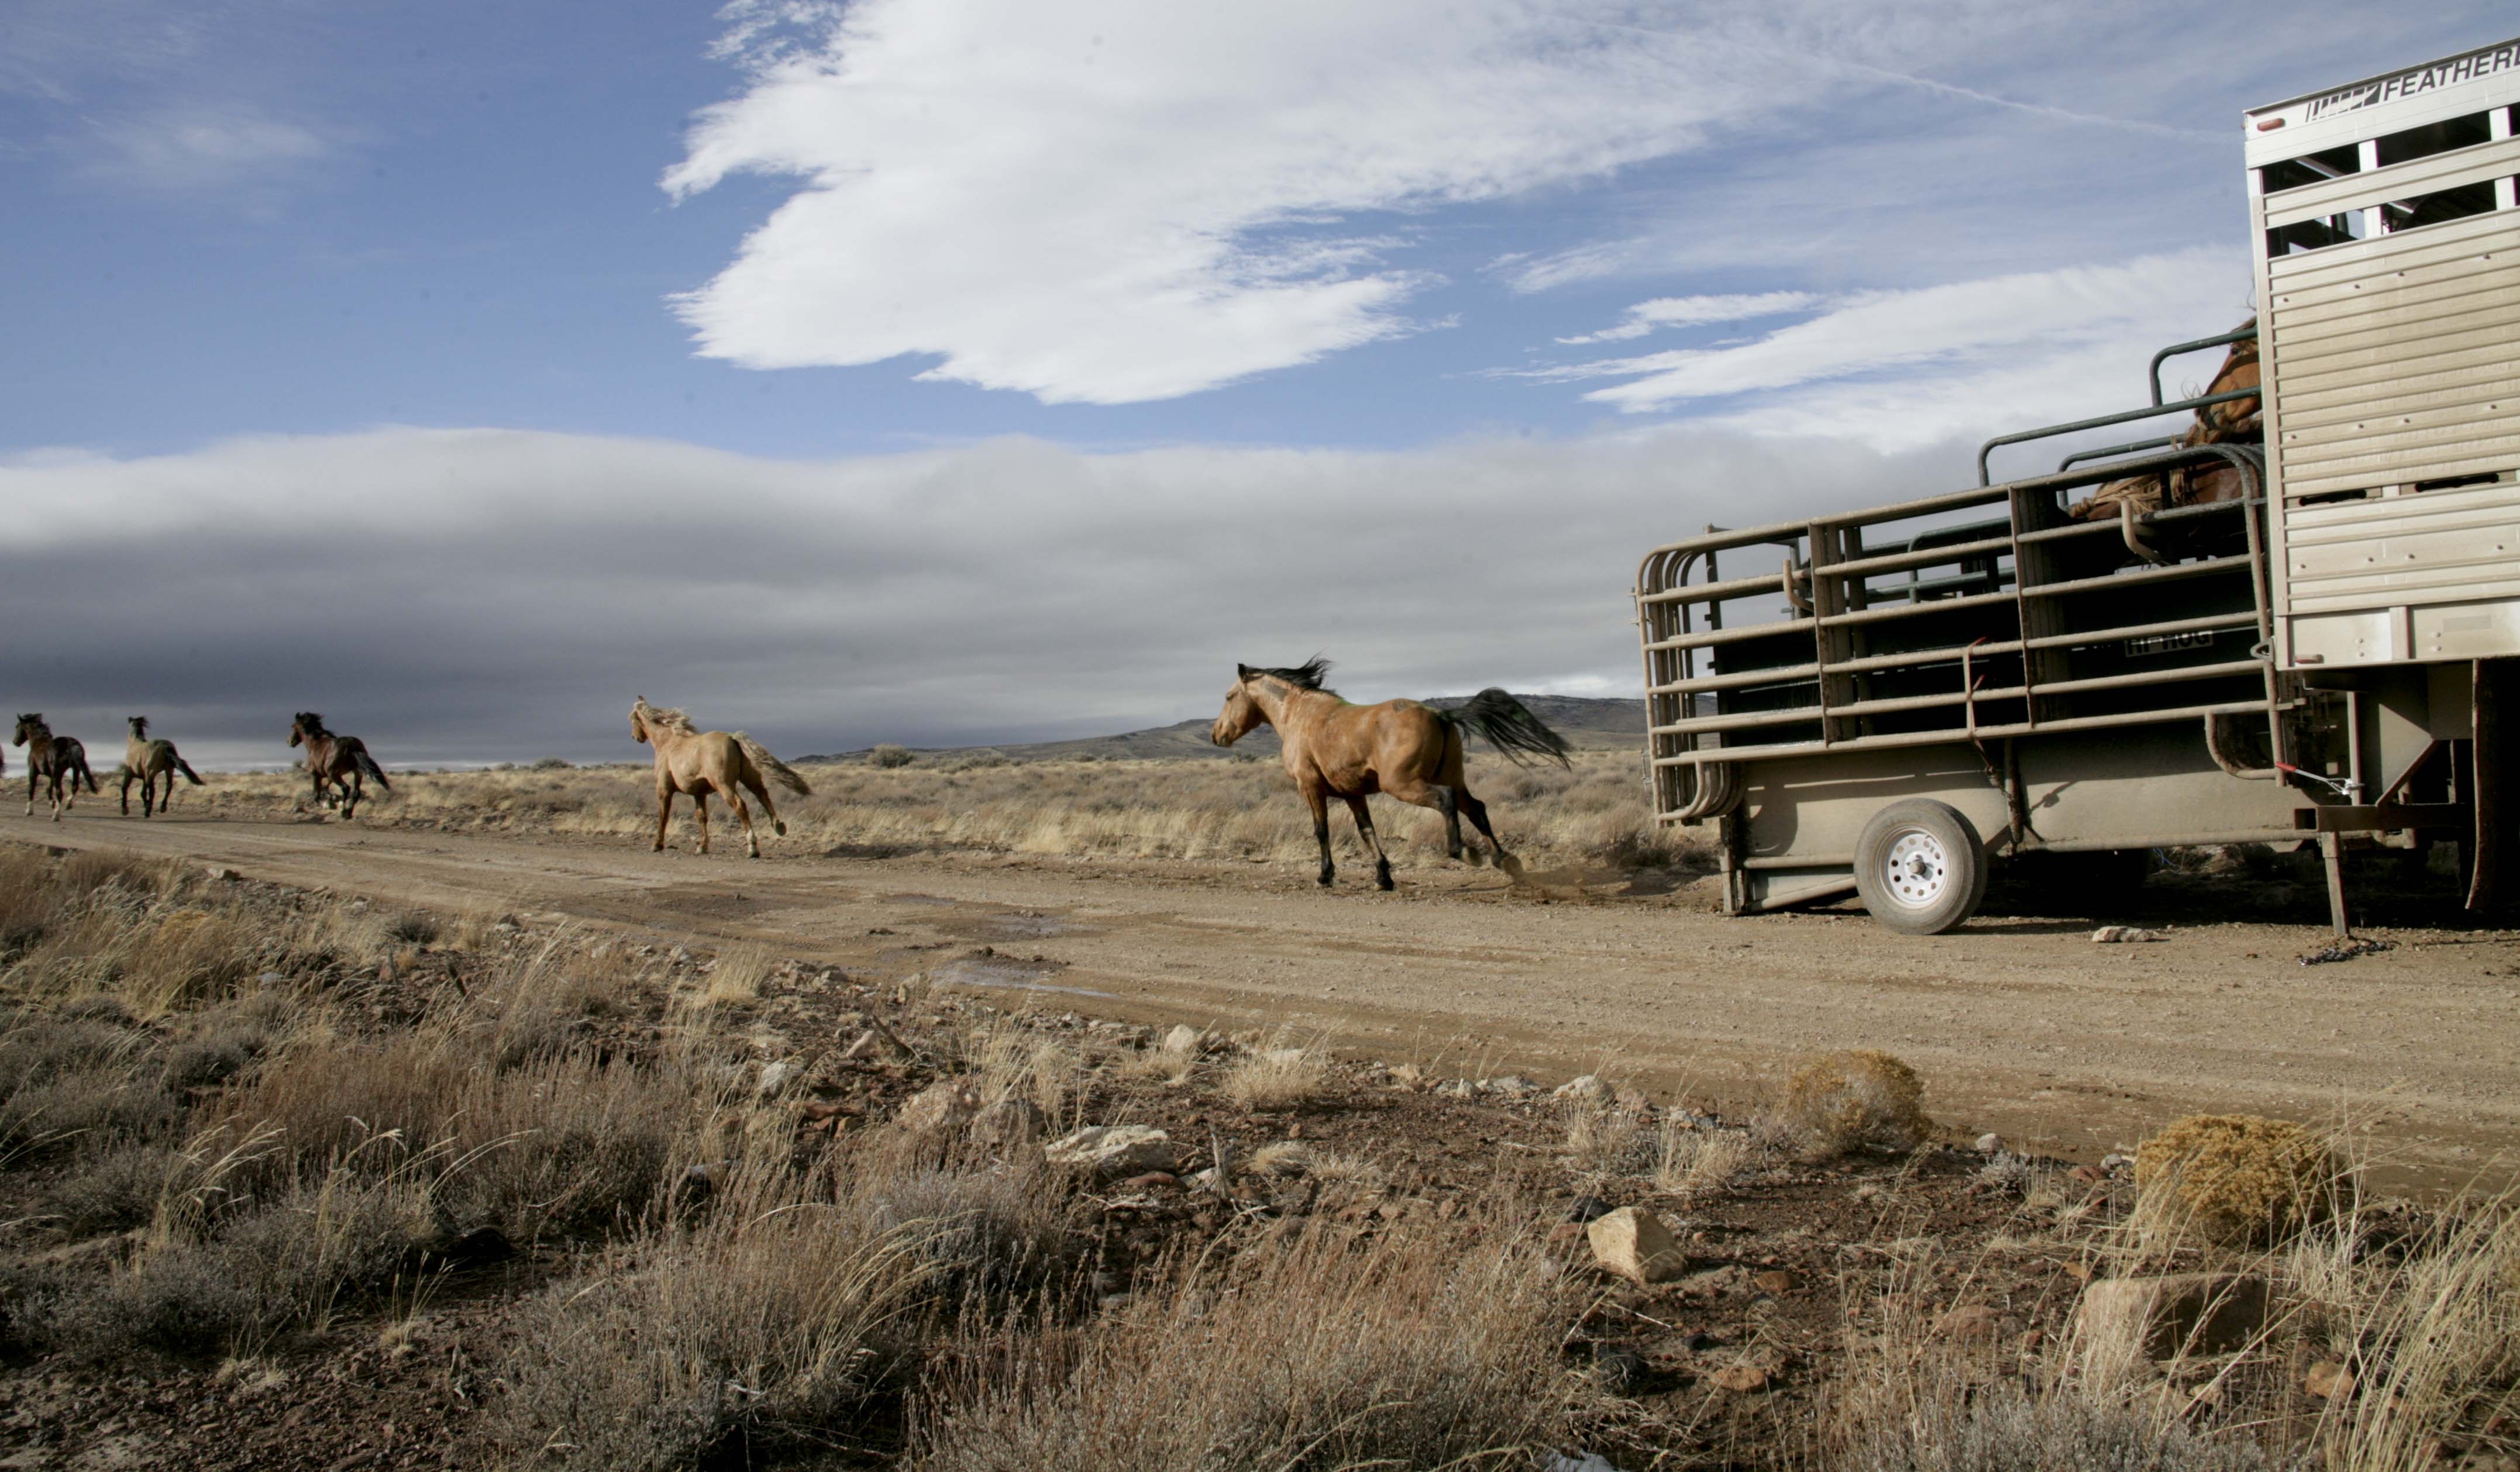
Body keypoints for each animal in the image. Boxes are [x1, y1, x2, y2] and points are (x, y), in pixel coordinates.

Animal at [11, 716, 99, 822]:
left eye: (17, 727)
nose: (15, 742)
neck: (38, 742)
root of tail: (69, 744)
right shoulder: (52, 774)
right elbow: (48, 789)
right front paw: (52, 803)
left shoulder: (33, 771)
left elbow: (31, 789)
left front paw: (29, 811)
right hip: (75, 769)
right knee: (74, 787)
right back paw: (68, 805)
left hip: (58, 772)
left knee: (60, 793)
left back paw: (56, 816)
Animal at [120, 716, 204, 816]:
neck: (134, 743)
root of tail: (166, 747)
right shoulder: (145, 777)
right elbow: (142, 792)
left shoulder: (130, 773)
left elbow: (125, 788)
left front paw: (125, 809)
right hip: (169, 769)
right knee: (168, 786)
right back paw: (162, 807)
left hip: (152, 772)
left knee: (152, 791)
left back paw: (148, 811)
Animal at [288, 711, 390, 816]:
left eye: (293, 726)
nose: (290, 741)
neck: (315, 744)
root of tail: (352, 746)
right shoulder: (329, 775)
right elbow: (325, 788)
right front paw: (333, 798)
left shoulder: (316, 775)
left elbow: (316, 796)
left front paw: (329, 804)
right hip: (356, 773)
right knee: (356, 792)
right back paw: (348, 813)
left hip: (334, 774)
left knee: (346, 788)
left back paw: (343, 810)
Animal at [635, 695, 811, 857]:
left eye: (632, 719)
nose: (636, 737)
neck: (668, 741)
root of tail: (733, 738)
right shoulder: (699, 793)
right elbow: (701, 817)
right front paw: (702, 847)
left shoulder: (664, 790)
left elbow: (663, 815)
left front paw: (657, 845)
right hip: (751, 780)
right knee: (763, 796)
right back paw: (779, 827)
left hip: (724, 785)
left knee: (740, 805)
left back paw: (752, 848)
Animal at [1209, 660, 1562, 892]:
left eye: (1228, 697)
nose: (1217, 735)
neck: (1301, 715)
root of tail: (1440, 715)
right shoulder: (1353, 794)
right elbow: (1367, 831)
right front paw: (1383, 878)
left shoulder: (1310, 788)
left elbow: (1321, 831)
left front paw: (1325, 876)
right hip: (1453, 778)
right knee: (1477, 809)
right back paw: (1506, 861)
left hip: (1404, 784)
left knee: (1445, 800)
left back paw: (1464, 852)